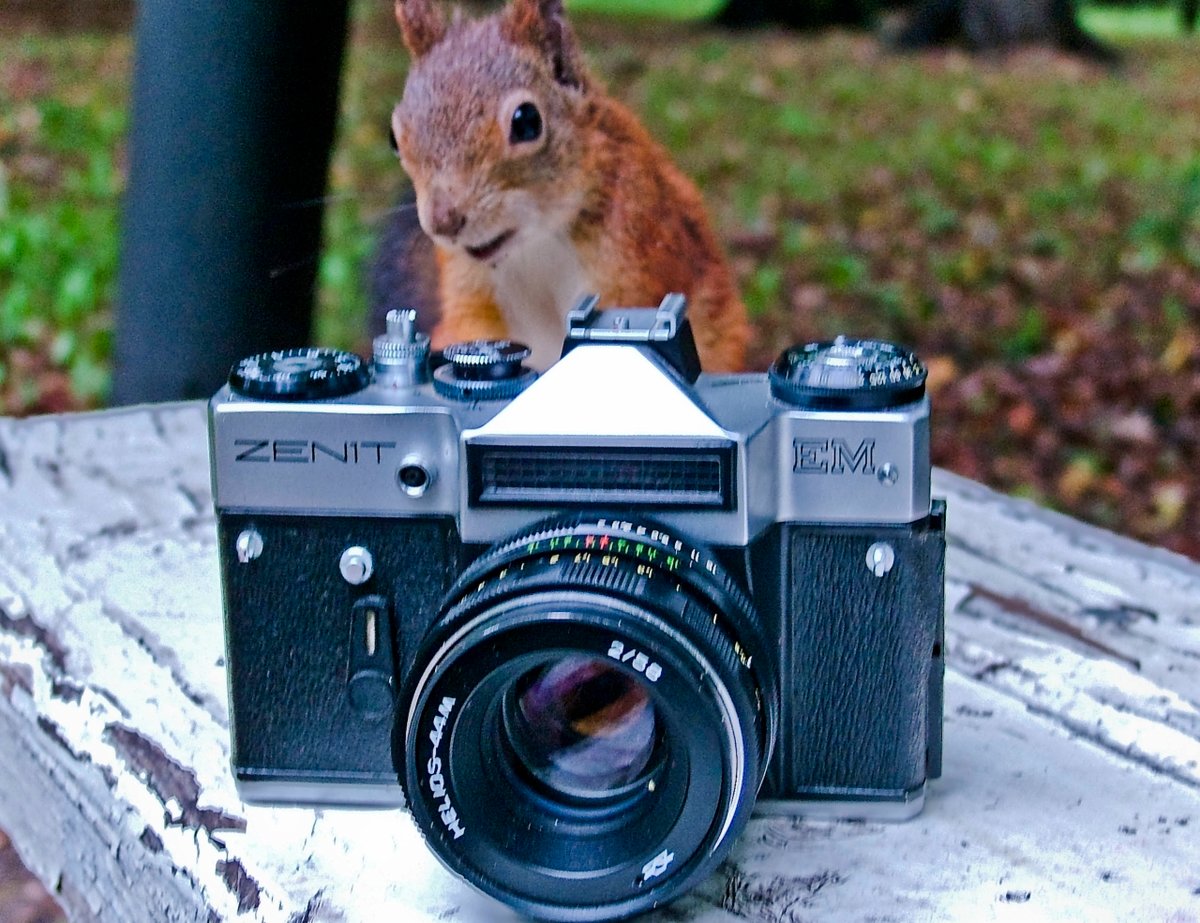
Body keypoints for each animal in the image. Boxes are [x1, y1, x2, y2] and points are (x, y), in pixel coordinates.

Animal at [379, 0, 750, 372]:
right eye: (394, 138)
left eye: (527, 122)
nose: (443, 222)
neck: (537, 242)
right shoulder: (469, 287)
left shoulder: (634, 252)